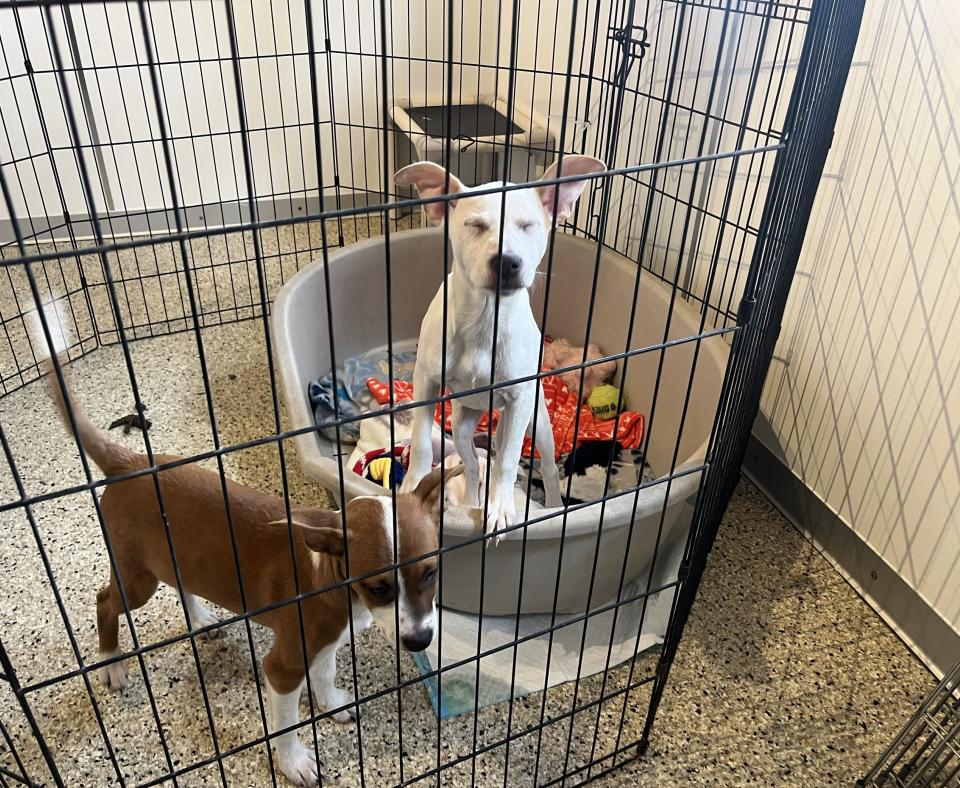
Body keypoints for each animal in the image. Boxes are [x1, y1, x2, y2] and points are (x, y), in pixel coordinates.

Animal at [40, 324, 454, 780]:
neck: (329, 581)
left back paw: (200, 620)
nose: (420, 641)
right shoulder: (284, 666)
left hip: (169, 557)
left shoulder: (327, 644)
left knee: (179, 583)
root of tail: (128, 463)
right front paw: (293, 763)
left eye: (431, 573)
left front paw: (331, 706)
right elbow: (287, 723)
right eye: (378, 587)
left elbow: (325, 677)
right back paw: (111, 660)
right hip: (137, 580)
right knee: (105, 600)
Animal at [394, 157, 604, 540]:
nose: (507, 261)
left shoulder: (519, 400)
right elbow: (421, 442)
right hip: (463, 424)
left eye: (528, 226)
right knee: (473, 467)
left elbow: (506, 461)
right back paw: (472, 501)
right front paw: (412, 486)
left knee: (546, 467)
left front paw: (502, 508)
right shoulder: (426, 382)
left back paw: (551, 506)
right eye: (476, 225)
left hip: (536, 421)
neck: (484, 317)